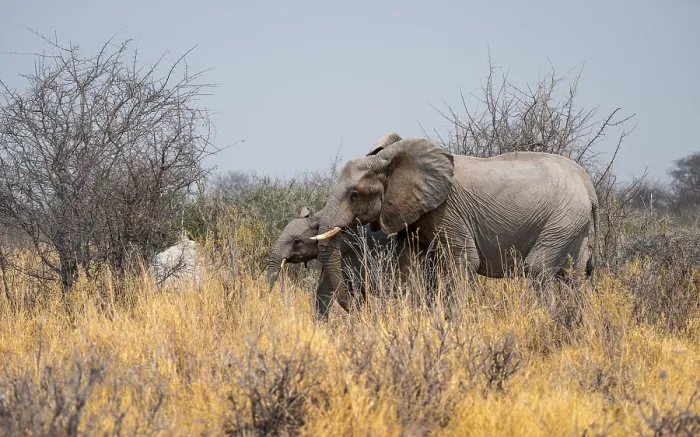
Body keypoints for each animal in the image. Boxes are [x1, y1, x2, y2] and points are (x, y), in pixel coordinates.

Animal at [310, 133, 600, 317]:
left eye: (354, 195)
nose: (360, 308)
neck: (393, 159)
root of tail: (588, 184)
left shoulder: (448, 210)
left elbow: (464, 260)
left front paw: (452, 324)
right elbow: (410, 265)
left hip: (564, 217)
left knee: (538, 267)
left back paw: (548, 320)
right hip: (575, 225)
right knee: (573, 274)